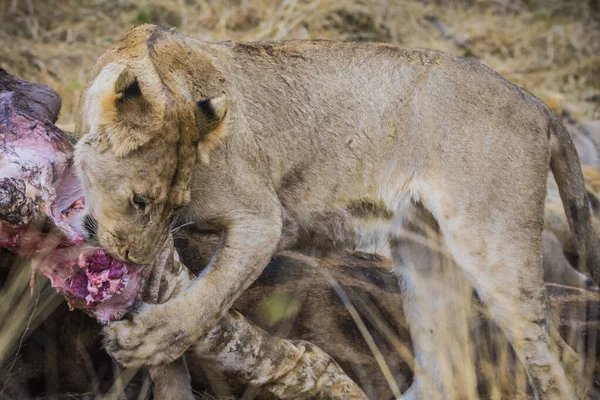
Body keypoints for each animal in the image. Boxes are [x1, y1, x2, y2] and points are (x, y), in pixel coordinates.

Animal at [75, 25, 600, 400]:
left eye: (163, 204)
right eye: (142, 201)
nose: (135, 260)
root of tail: (535, 102)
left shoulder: (262, 216)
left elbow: (212, 296)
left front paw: (150, 338)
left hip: (490, 238)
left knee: (560, 361)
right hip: (422, 250)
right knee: (444, 371)